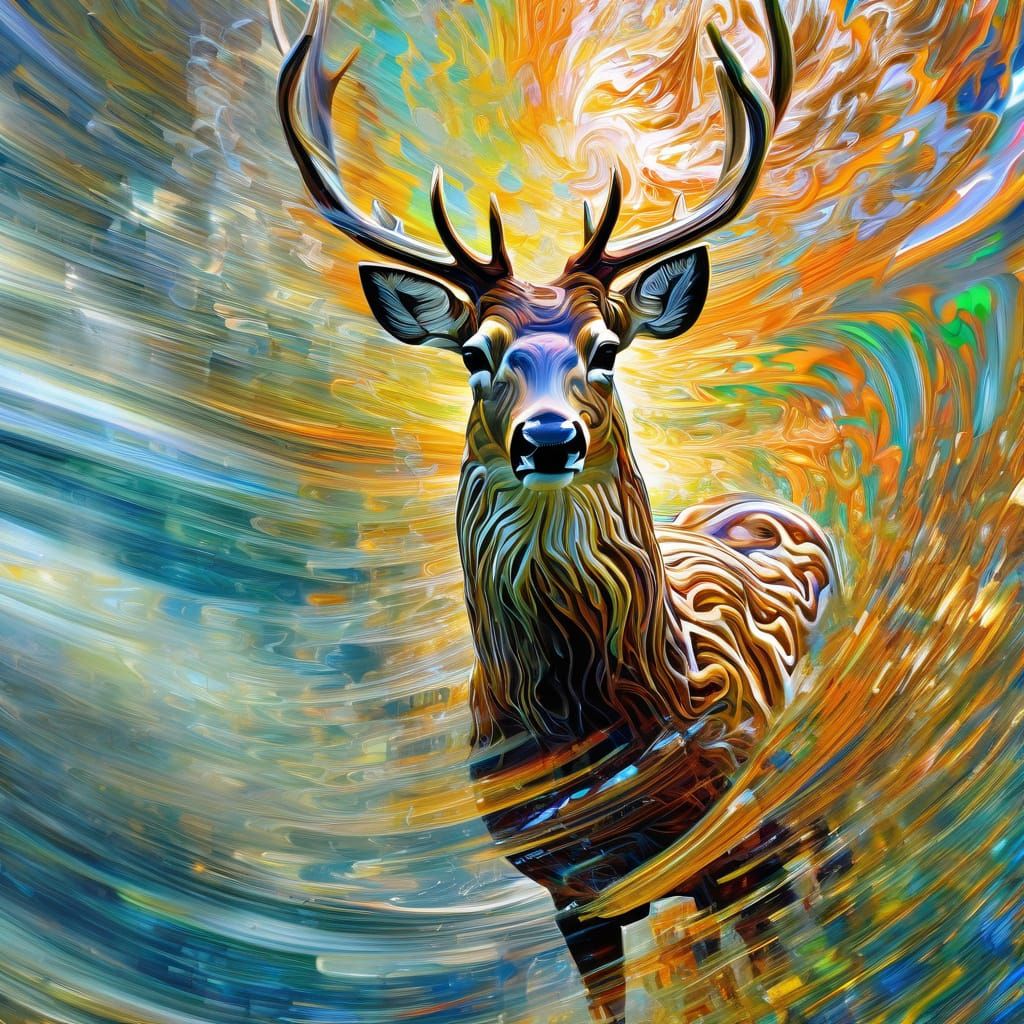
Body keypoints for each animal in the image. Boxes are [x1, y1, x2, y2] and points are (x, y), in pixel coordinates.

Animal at [272, 2, 839, 1021]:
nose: (546, 437)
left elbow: (767, 973)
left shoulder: (736, 829)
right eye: (475, 353)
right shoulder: (572, 890)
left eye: (606, 346)